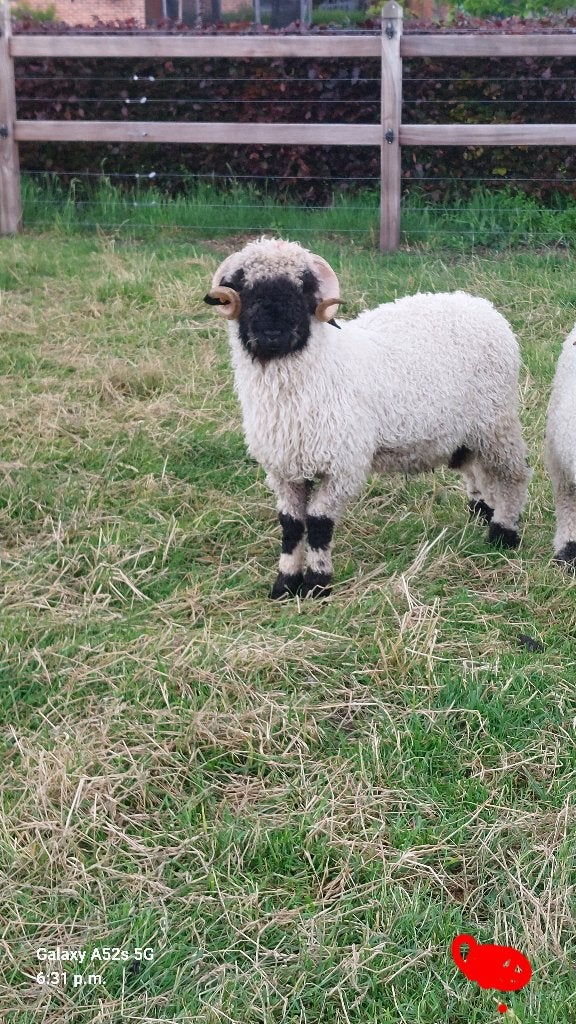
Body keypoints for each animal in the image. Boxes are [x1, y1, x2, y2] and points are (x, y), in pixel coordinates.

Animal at [204, 237, 531, 599]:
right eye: (242, 286)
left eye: (304, 287)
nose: (273, 332)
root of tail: (481, 306)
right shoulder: (284, 468)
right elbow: (291, 525)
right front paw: (285, 584)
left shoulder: (343, 465)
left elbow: (318, 523)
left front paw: (317, 584)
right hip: (467, 431)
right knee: (477, 469)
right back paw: (482, 512)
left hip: (496, 420)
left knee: (513, 475)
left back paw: (503, 533)